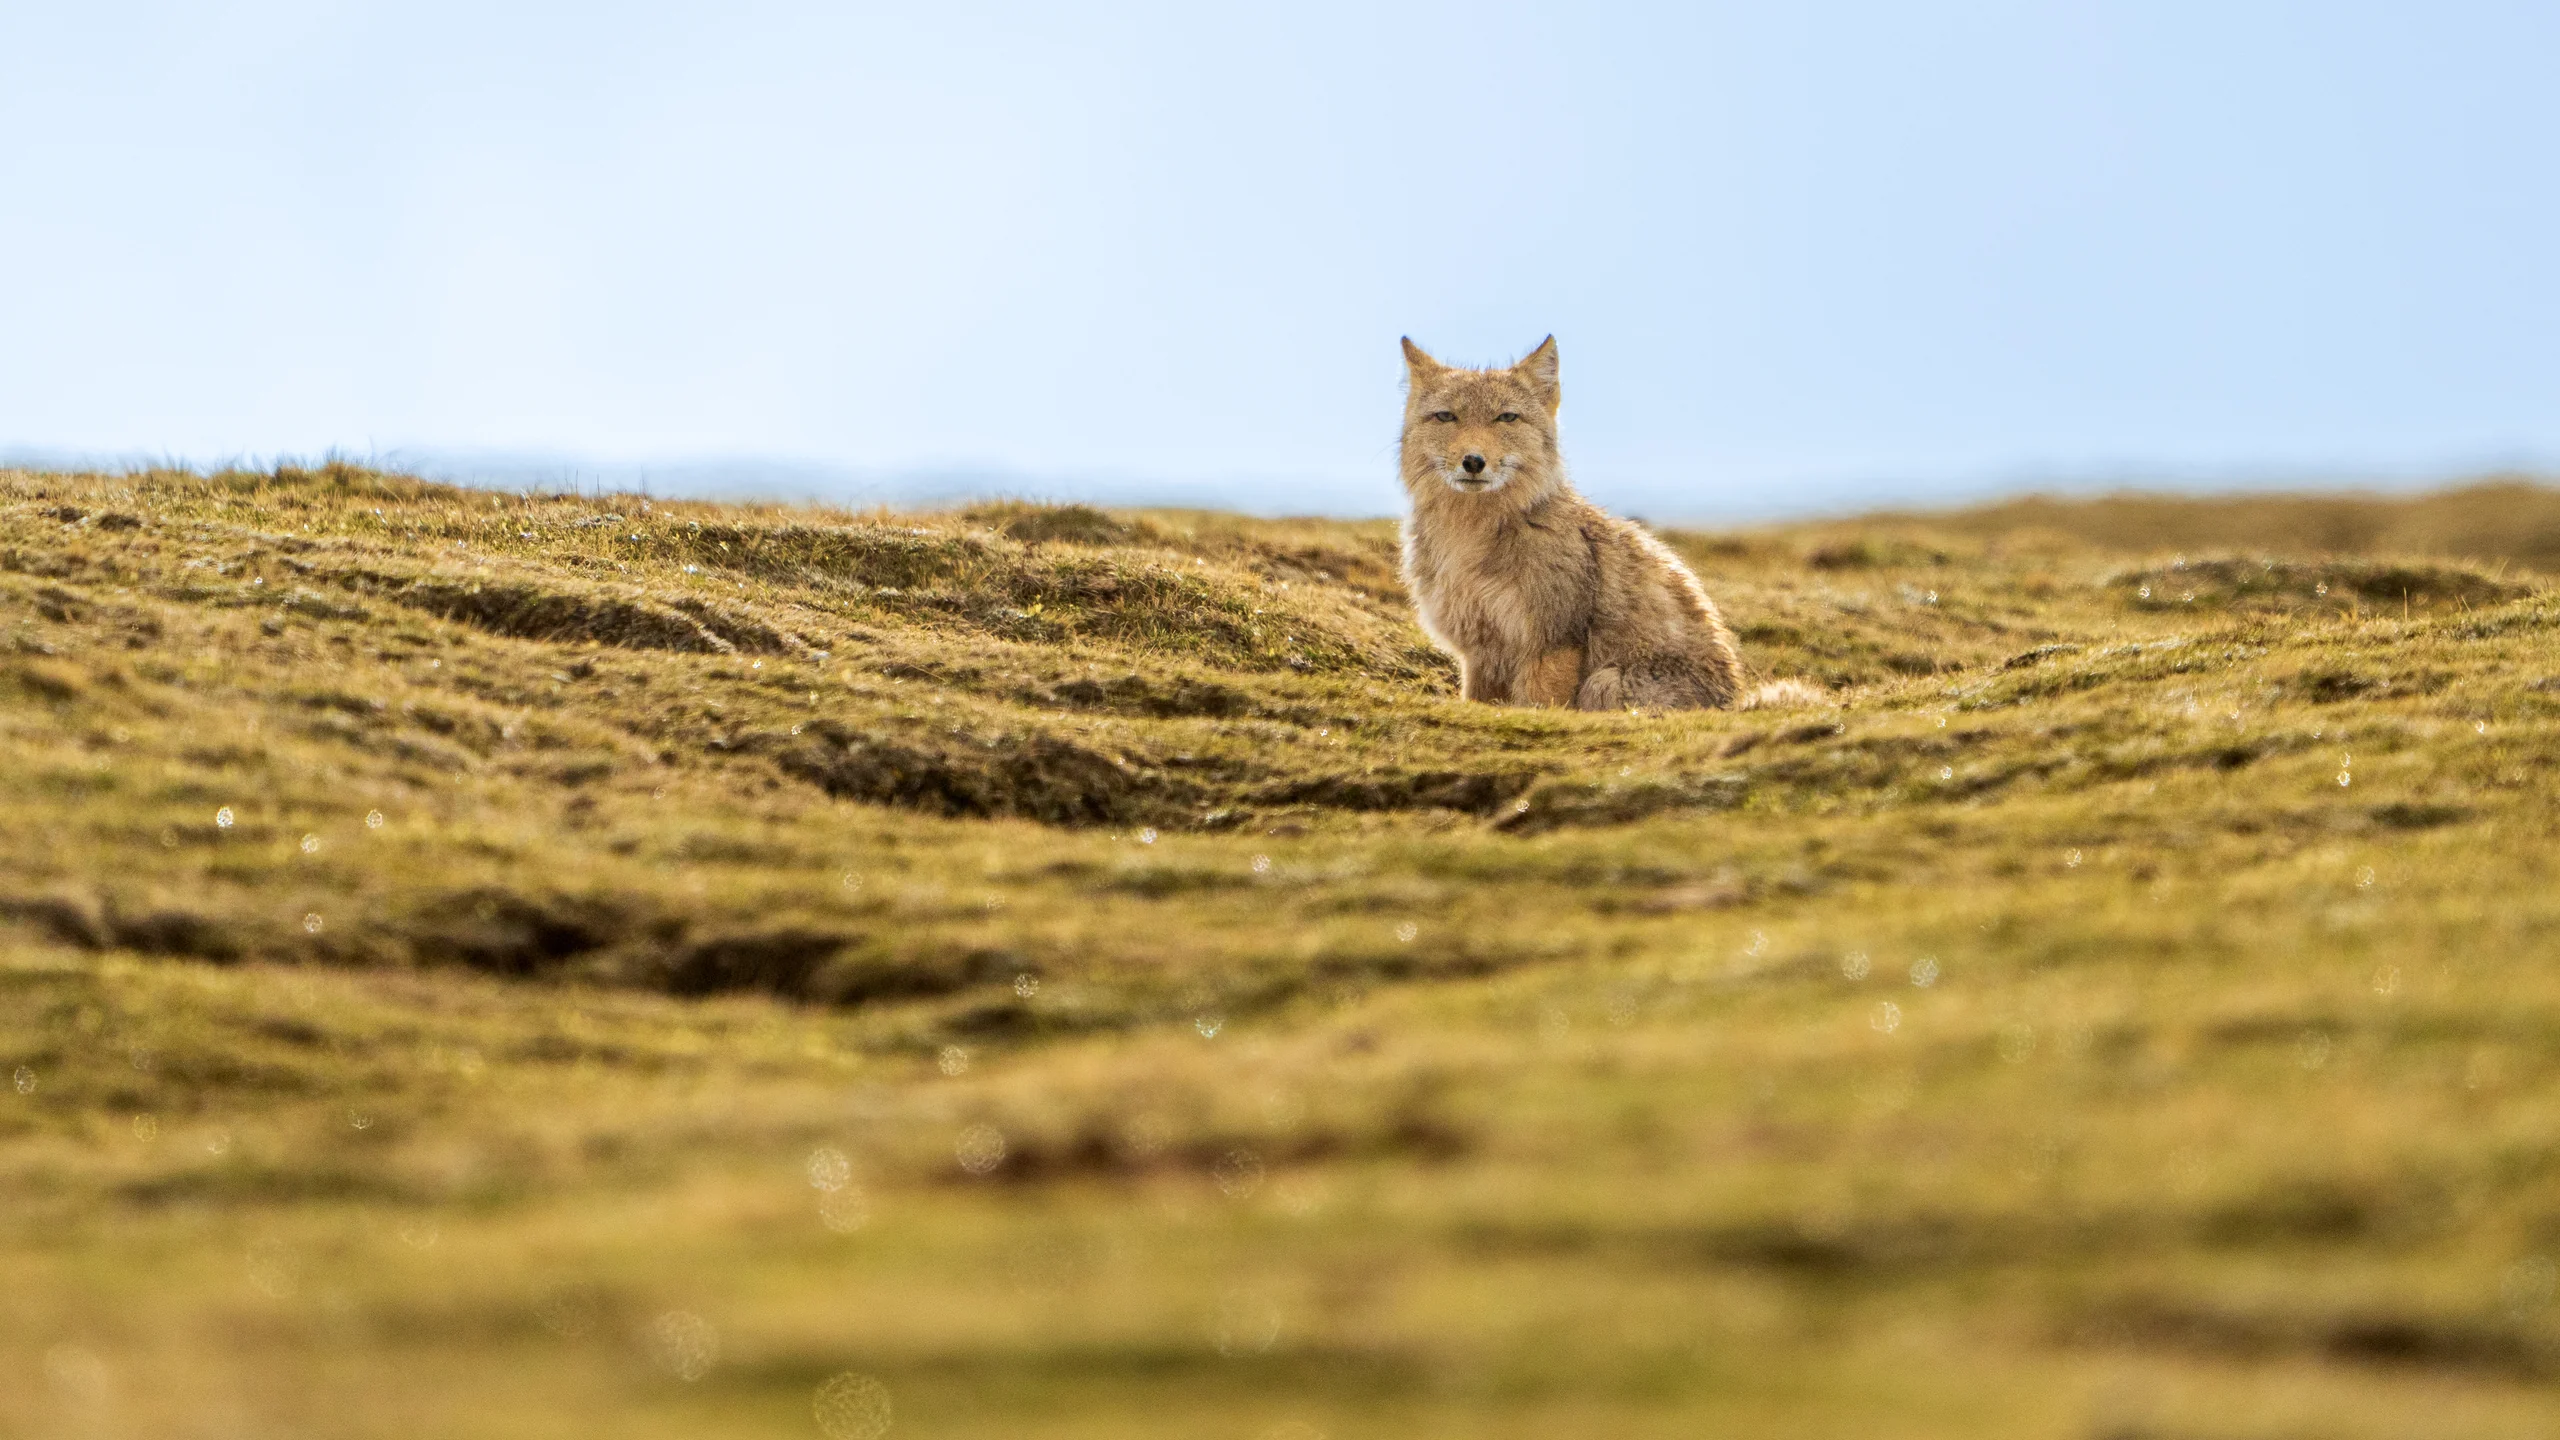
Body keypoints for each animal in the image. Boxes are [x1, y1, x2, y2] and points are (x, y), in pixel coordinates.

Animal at [1397, 335, 1819, 712]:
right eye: (1447, 416)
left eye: (1506, 417)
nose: (1473, 461)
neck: (1469, 540)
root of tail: (1732, 703)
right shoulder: (1479, 654)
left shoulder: (1551, 643)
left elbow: (1542, 704)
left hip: (1604, 681)